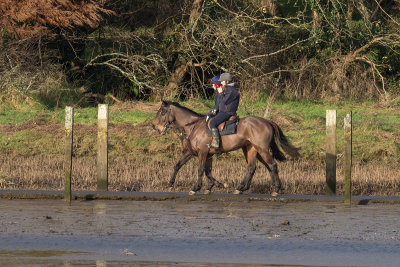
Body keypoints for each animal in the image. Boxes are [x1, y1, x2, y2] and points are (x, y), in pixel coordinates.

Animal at [152, 100, 298, 197]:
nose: (154, 126)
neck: (193, 126)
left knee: (272, 165)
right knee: (254, 167)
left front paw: (197, 187)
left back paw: (276, 189)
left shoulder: (202, 152)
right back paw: (241, 188)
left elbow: (200, 170)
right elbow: (189, 167)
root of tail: (267, 121)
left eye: (162, 112)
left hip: (262, 149)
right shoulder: (198, 153)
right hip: (252, 150)